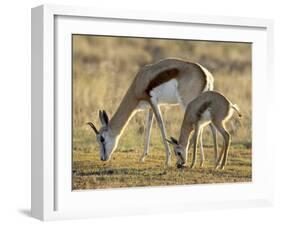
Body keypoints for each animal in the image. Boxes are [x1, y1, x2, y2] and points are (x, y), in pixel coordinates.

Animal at [87, 58, 217, 167]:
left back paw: (190, 161)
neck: (140, 82)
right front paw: (142, 157)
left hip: (188, 104)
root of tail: (205, 74)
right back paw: (205, 162)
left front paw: (167, 160)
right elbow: (148, 126)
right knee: (210, 126)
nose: (102, 158)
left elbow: (160, 125)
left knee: (200, 126)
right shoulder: (151, 106)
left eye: (102, 138)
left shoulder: (153, 102)